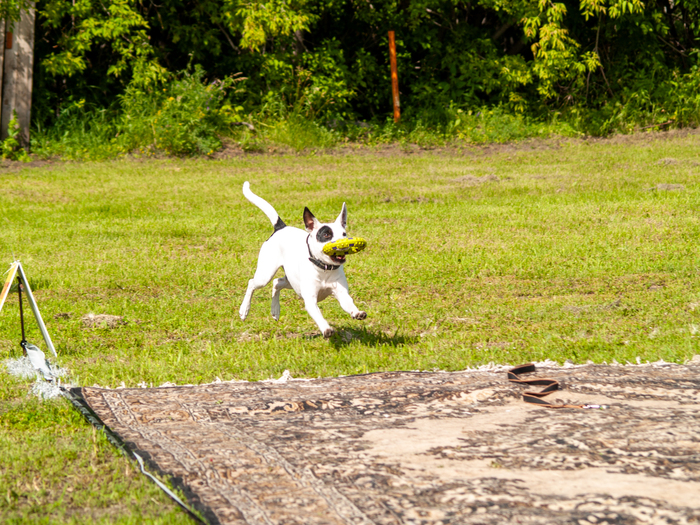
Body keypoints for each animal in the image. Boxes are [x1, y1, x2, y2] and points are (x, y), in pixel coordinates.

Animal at [239, 181, 366, 338]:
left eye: (344, 234)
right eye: (326, 235)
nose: (344, 244)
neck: (324, 268)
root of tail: (281, 228)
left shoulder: (341, 293)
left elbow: (348, 303)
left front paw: (357, 312)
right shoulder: (310, 300)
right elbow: (318, 315)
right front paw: (326, 328)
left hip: (291, 281)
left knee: (277, 283)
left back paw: (275, 310)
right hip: (265, 275)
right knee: (252, 283)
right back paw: (244, 310)